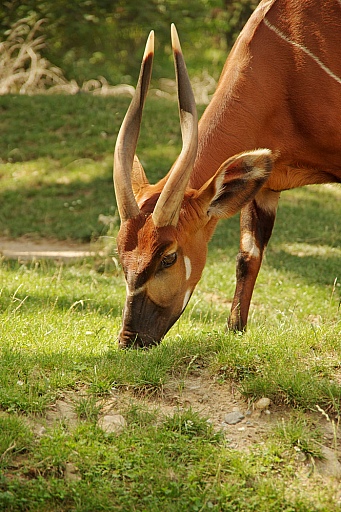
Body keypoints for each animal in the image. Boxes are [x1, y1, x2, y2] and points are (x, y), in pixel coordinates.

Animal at [113, 1, 340, 348]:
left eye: (168, 257)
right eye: (120, 256)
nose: (130, 339)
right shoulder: (265, 185)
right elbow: (248, 256)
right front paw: (235, 330)